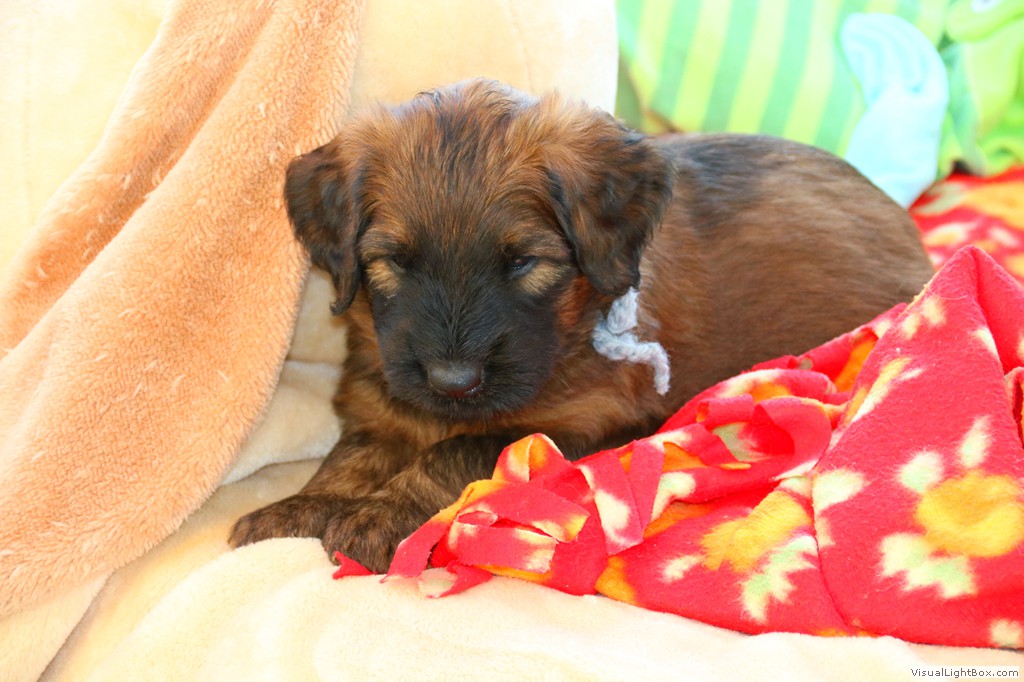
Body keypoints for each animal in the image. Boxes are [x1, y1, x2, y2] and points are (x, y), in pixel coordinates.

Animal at [229, 79, 935, 572]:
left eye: (524, 262)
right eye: (392, 262)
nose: (454, 382)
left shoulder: (586, 421)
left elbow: (457, 448)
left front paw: (379, 516)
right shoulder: (379, 405)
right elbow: (353, 454)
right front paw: (297, 508)